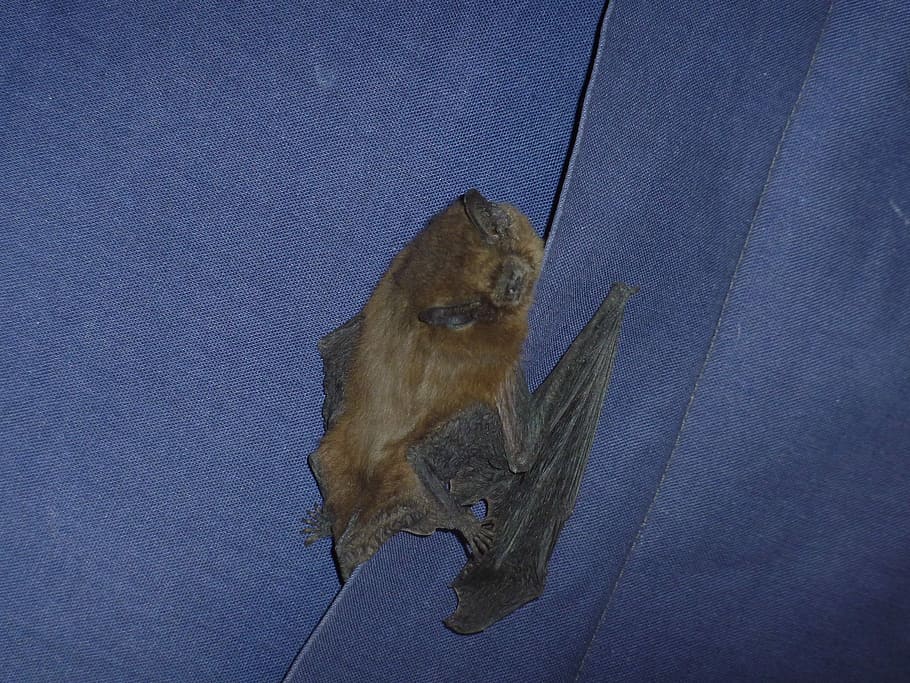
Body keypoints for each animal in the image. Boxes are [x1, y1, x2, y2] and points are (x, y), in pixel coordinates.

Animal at [305, 190, 544, 579]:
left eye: (501, 220)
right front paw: (469, 526)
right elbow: (517, 456)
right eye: (509, 286)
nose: (517, 280)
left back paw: (325, 521)